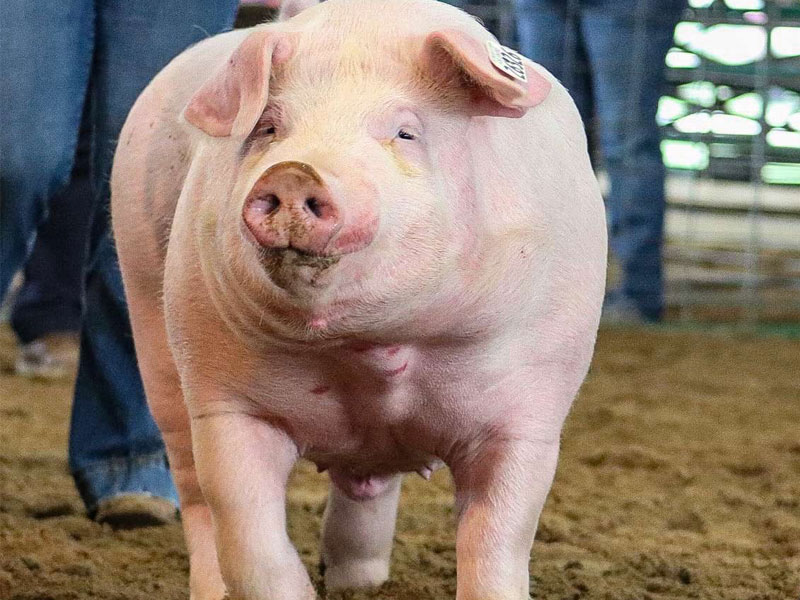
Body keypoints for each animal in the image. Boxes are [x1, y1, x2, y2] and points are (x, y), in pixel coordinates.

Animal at [110, 0, 607, 598]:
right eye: (269, 128)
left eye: (406, 132)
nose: (295, 172)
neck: (372, 346)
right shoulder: (226, 402)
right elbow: (249, 538)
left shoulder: (528, 410)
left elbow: (497, 539)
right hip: (150, 315)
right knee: (194, 493)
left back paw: (358, 582)